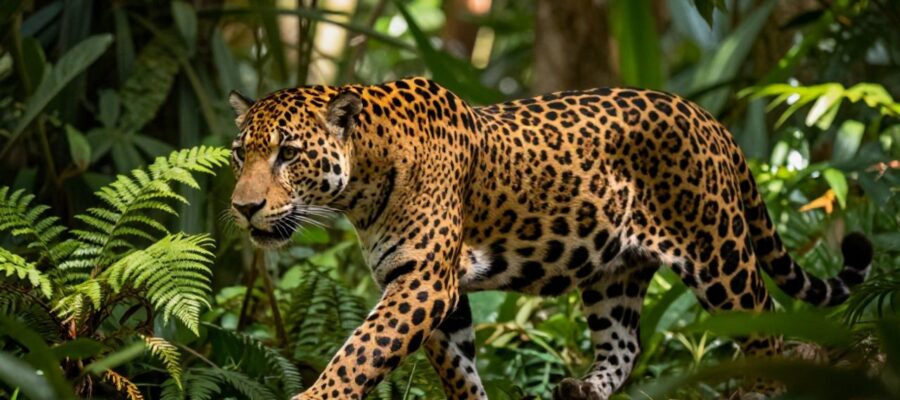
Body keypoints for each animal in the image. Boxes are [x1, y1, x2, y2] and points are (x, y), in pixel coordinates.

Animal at [227, 77, 873, 400]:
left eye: (288, 154)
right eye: (240, 154)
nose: (242, 207)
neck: (363, 175)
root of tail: (708, 118)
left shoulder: (423, 282)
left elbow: (359, 354)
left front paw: (314, 398)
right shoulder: (437, 292)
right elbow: (459, 371)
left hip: (718, 253)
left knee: (766, 324)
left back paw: (761, 389)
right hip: (614, 272)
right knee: (625, 344)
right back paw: (585, 389)